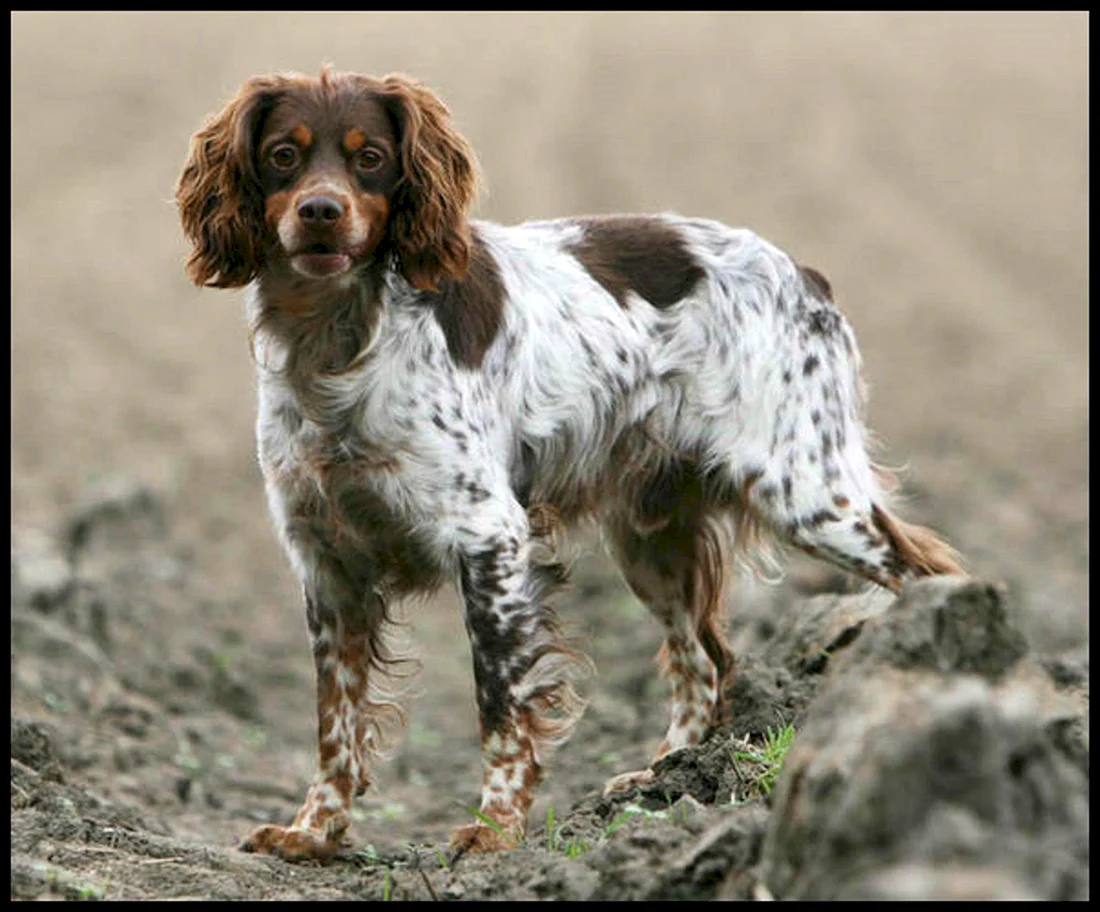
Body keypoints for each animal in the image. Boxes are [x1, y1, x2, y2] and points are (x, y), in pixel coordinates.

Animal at [176, 67, 959, 858]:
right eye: (282, 155)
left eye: (370, 158)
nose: (321, 212)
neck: (337, 342)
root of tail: (806, 276)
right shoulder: (326, 559)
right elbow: (334, 718)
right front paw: (314, 830)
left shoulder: (489, 537)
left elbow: (499, 701)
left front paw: (495, 830)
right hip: (653, 539)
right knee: (704, 663)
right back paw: (662, 781)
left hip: (806, 492)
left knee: (927, 572)